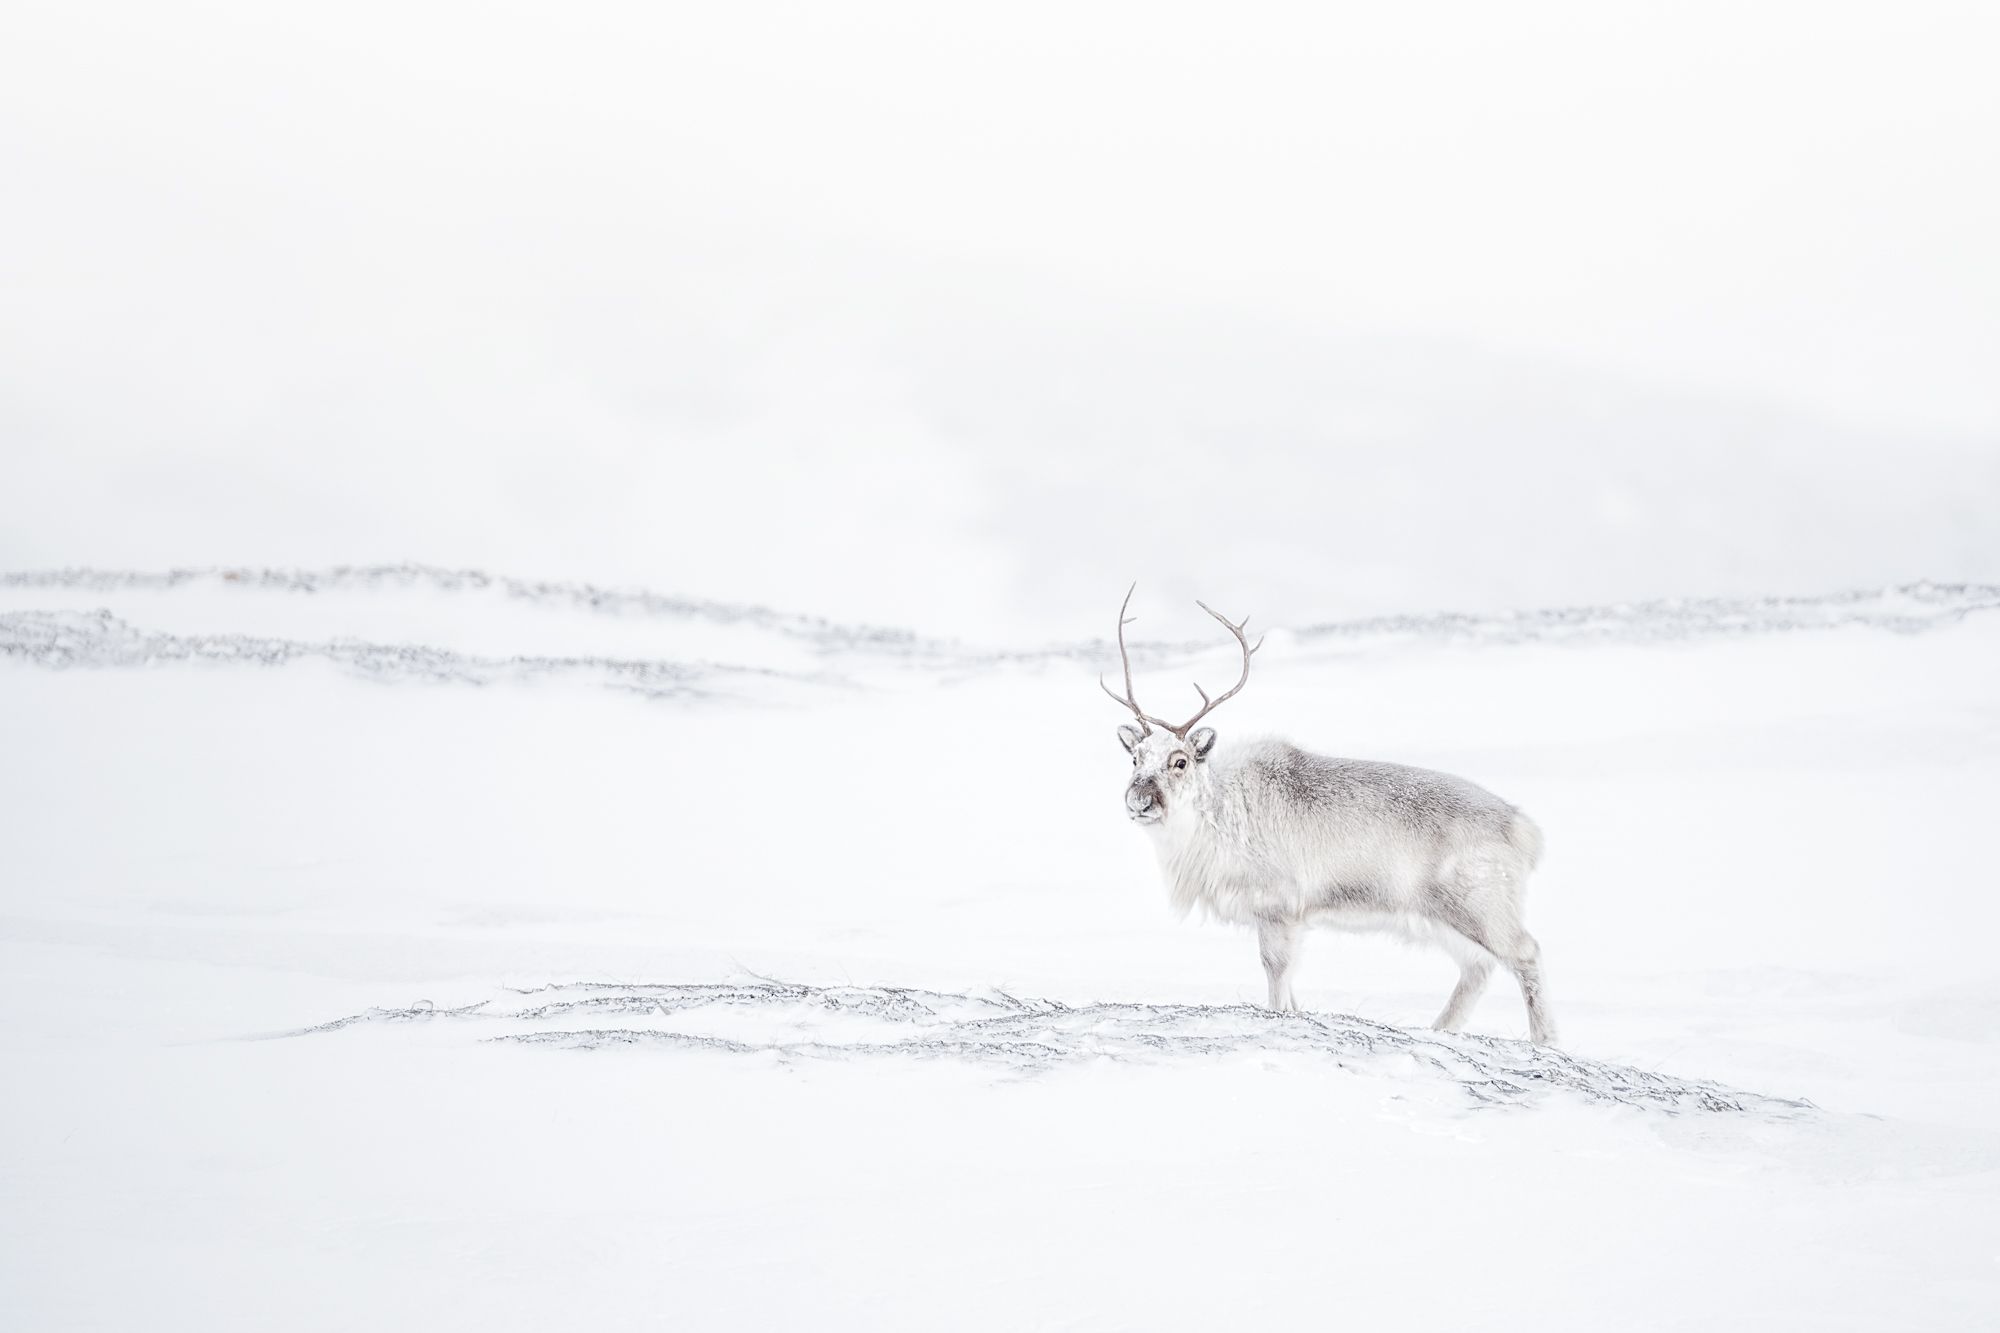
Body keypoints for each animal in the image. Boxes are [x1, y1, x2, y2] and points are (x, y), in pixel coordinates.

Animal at [1102, 586, 1556, 1045]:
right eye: (1136, 758)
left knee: (1526, 953)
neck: (1212, 820)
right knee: (1477, 969)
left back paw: (1545, 1041)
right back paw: (1439, 1029)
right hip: (1442, 919)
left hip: (1481, 906)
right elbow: (1290, 987)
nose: (1138, 801)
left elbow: (1276, 971)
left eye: (1179, 761)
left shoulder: (1278, 906)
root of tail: (1523, 830)